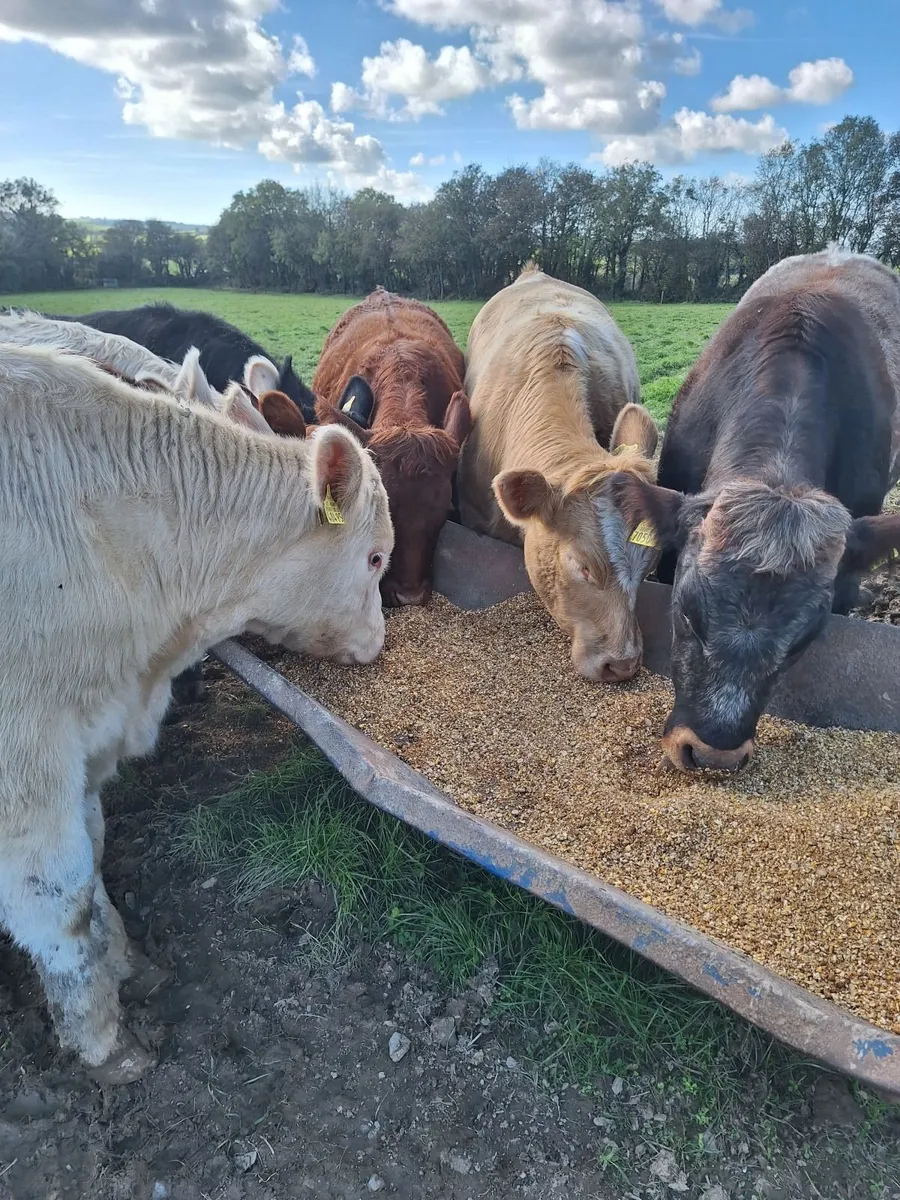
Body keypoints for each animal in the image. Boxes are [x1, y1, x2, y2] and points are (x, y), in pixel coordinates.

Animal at [0, 344, 393, 1082]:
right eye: (376, 555)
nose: (379, 640)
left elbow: (96, 849)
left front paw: (123, 959)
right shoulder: (27, 758)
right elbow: (62, 898)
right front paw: (101, 1039)